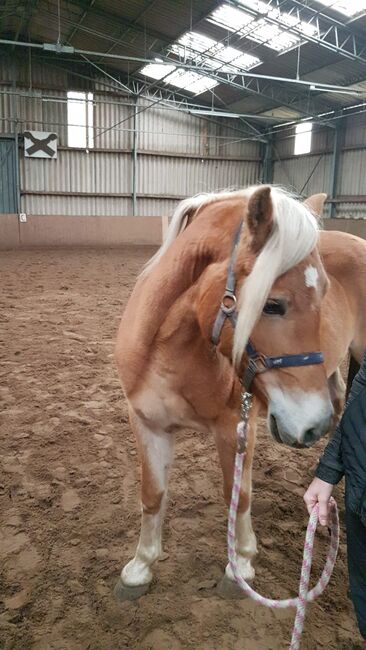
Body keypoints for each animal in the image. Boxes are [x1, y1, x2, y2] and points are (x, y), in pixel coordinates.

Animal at [114, 185, 366, 600]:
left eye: (325, 292)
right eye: (273, 304)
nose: (311, 425)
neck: (167, 352)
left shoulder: (235, 426)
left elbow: (239, 494)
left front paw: (240, 567)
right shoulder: (147, 424)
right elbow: (152, 495)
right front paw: (139, 569)